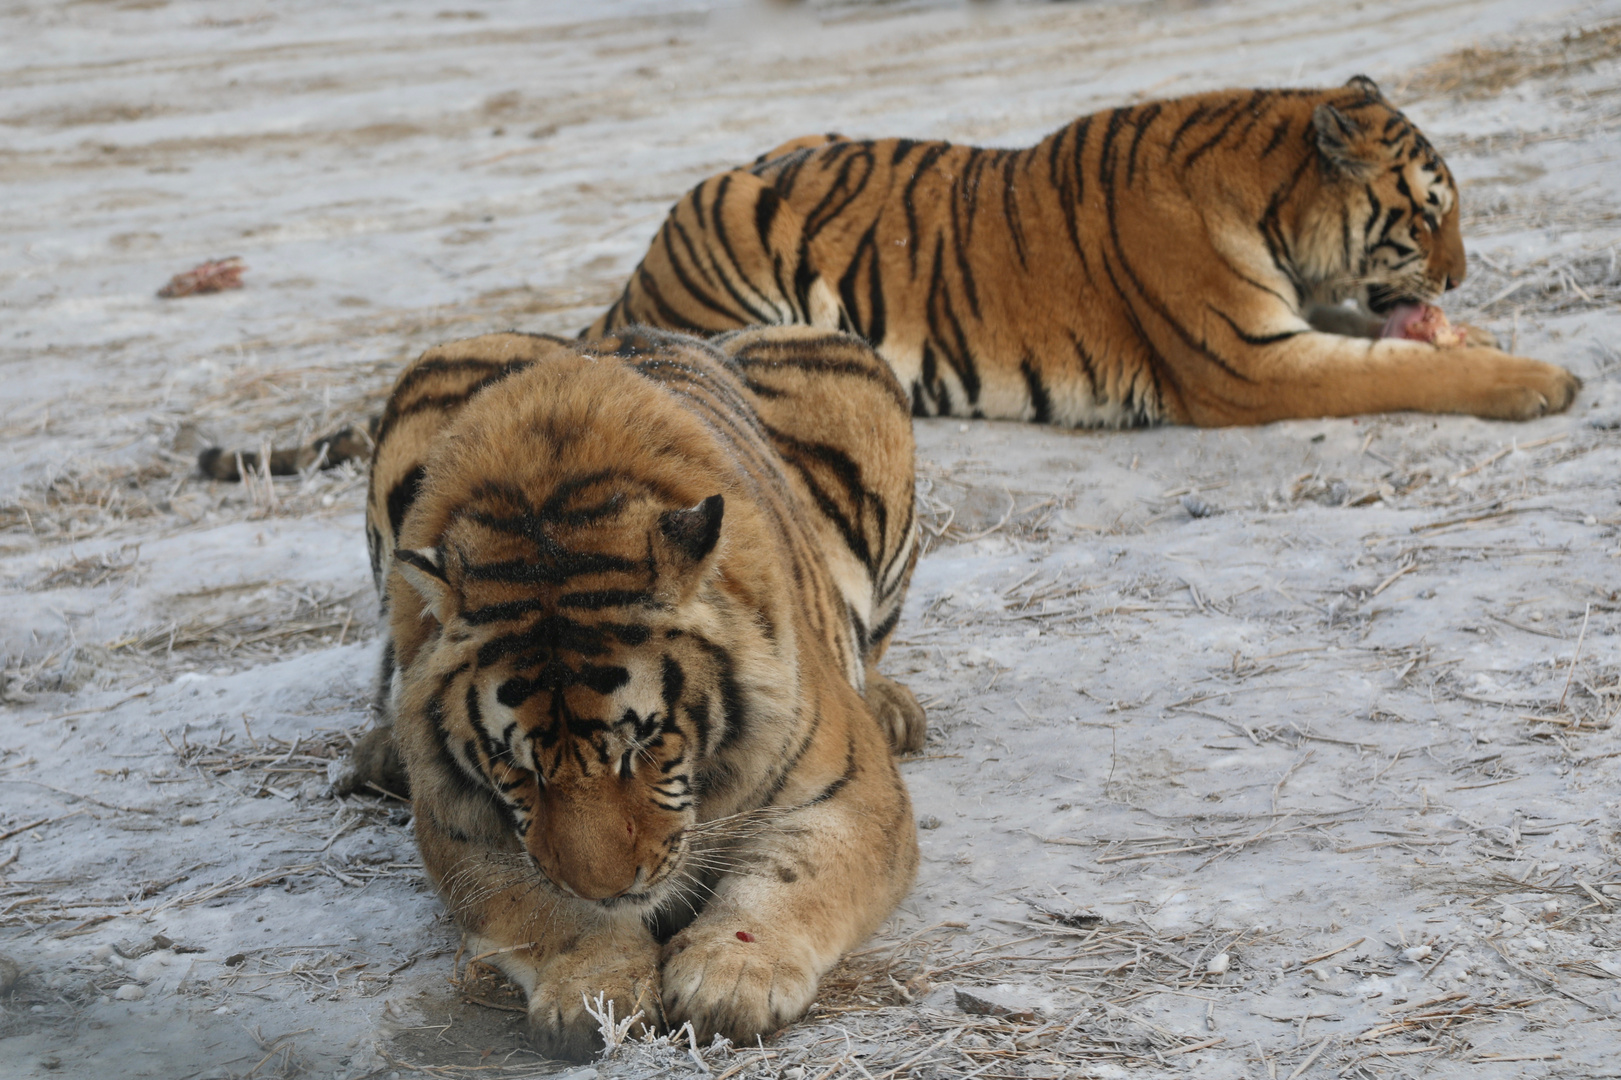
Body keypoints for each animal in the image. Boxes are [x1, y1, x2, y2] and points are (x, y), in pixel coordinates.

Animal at [205, 324, 927, 1057]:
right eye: (517, 765)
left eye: (642, 747)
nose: (608, 889)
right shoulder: (463, 827)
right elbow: (545, 904)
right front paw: (596, 990)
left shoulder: (846, 786)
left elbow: (788, 874)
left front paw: (730, 975)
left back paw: (893, 708)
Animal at [590, 75, 1575, 428]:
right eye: (1428, 214)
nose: (1458, 276)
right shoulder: (1249, 363)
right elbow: (1395, 370)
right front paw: (1536, 379)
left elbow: (1381, 338)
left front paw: (1477, 336)